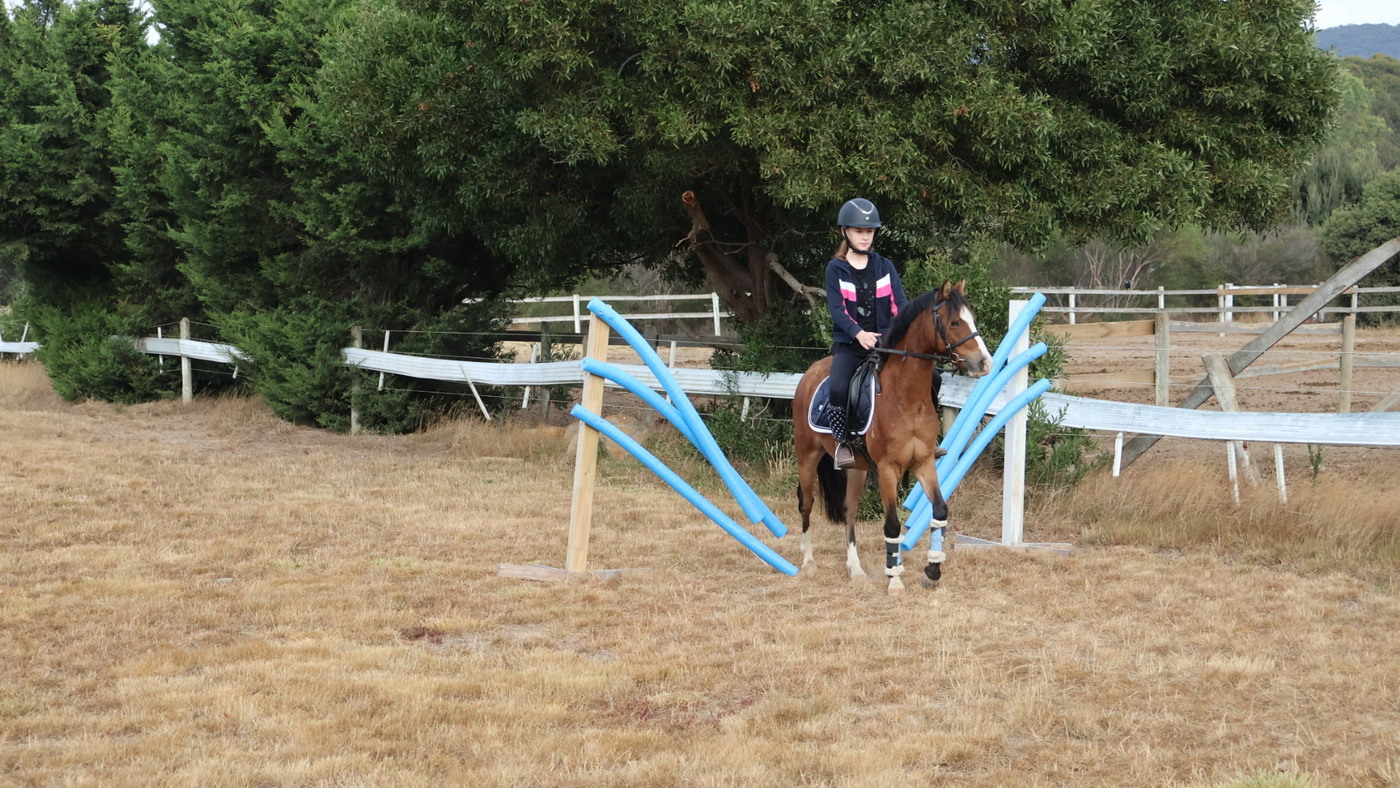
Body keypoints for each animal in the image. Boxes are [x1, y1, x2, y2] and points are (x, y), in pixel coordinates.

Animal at [793, 280, 992, 595]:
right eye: (954, 322)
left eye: (971, 317)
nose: (985, 363)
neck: (906, 398)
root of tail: (811, 372)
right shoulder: (887, 470)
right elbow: (892, 525)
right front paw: (895, 580)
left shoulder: (924, 463)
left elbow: (940, 511)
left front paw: (932, 571)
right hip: (807, 455)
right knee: (806, 503)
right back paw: (808, 562)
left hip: (857, 468)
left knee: (849, 510)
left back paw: (855, 568)